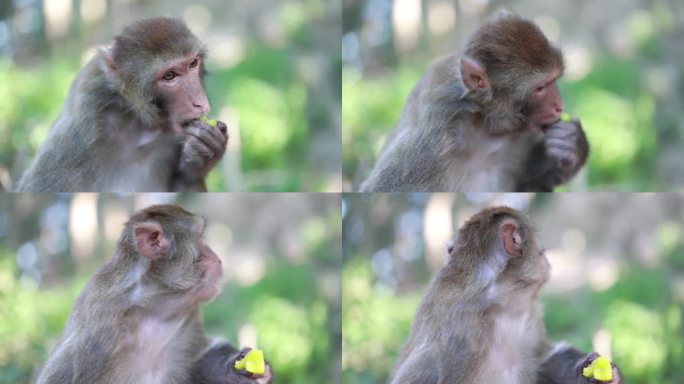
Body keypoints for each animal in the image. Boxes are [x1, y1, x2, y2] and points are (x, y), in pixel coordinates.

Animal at [15, 18, 227, 192]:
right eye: (169, 76)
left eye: (192, 64)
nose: (200, 103)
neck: (138, 122)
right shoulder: (81, 134)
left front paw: (205, 154)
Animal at [36, 206, 272, 382]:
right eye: (200, 237)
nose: (218, 258)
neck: (152, 307)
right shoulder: (96, 340)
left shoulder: (189, 316)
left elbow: (199, 361)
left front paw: (238, 370)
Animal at [360, 14, 592, 192]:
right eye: (540, 88)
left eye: (554, 80)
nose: (559, 106)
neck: (485, 127)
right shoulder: (429, 146)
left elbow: (537, 184)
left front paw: (572, 144)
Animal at [390, 207, 620, 384]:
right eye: (539, 249)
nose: (546, 260)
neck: (499, 302)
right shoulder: (458, 340)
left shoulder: (528, 313)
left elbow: (543, 360)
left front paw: (589, 370)